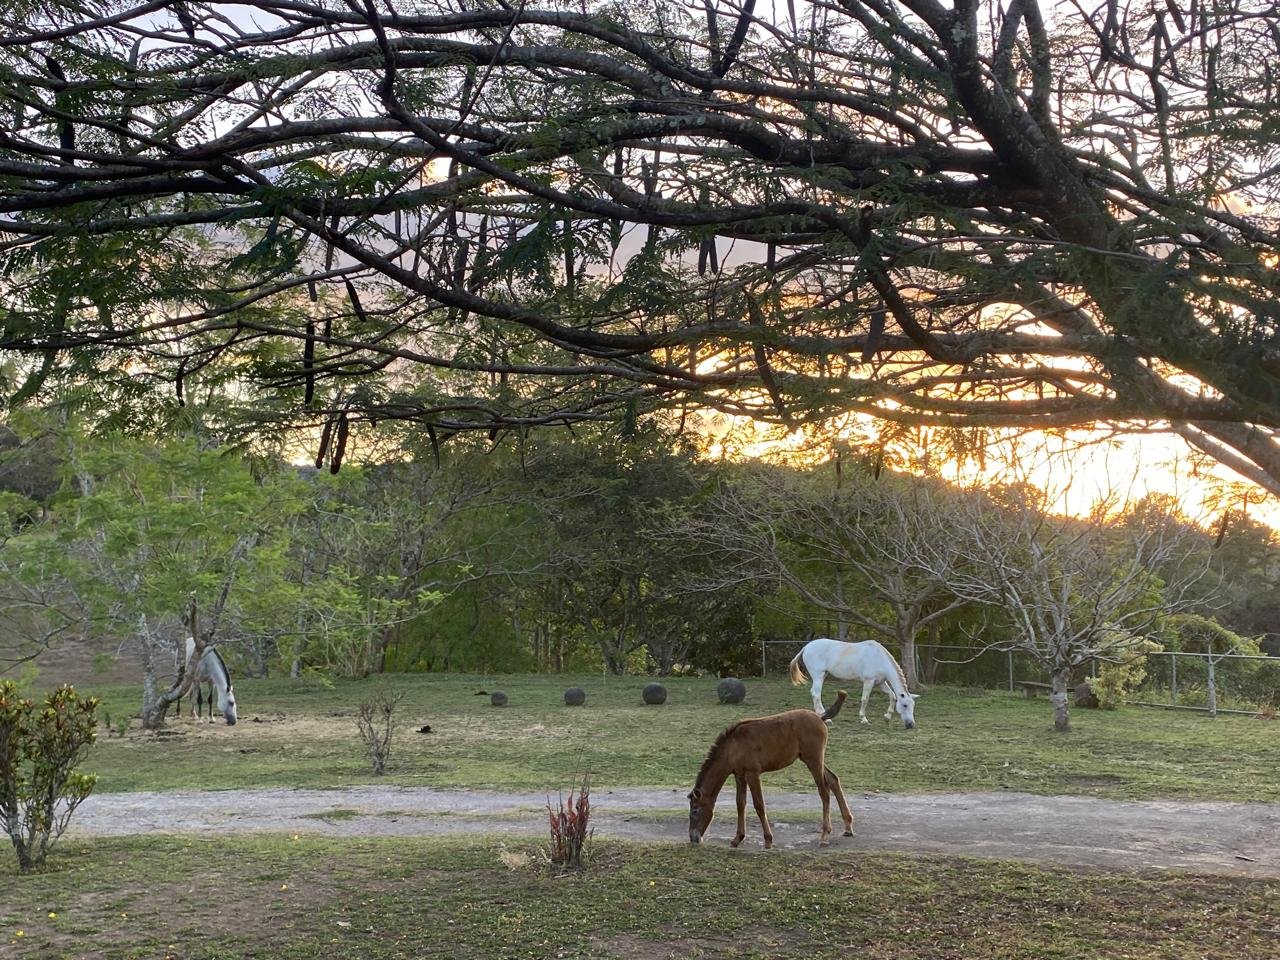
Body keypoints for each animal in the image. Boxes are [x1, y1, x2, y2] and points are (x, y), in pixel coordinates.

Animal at [687, 691, 852, 849]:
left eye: (695, 810)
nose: (693, 838)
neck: (732, 746)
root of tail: (820, 717)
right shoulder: (739, 775)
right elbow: (740, 804)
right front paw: (737, 839)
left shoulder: (752, 774)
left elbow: (759, 805)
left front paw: (768, 840)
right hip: (812, 760)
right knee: (833, 780)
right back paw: (848, 826)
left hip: (814, 760)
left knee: (824, 791)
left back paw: (824, 835)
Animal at [790, 637, 918, 729]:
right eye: (905, 705)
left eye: (913, 705)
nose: (911, 725)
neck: (879, 658)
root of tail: (807, 647)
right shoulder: (869, 681)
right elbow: (865, 699)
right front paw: (863, 719)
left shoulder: (880, 683)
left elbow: (893, 696)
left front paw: (887, 717)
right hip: (818, 675)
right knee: (816, 694)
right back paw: (827, 719)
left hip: (823, 674)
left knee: (814, 693)